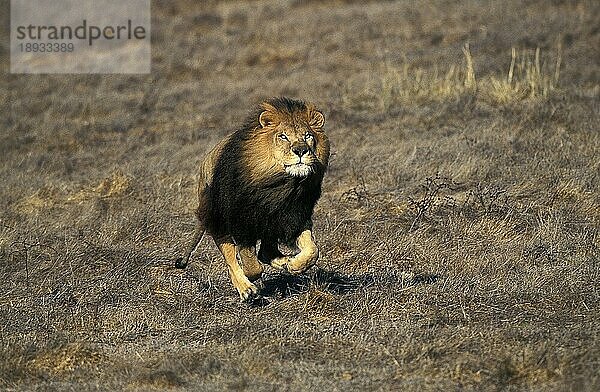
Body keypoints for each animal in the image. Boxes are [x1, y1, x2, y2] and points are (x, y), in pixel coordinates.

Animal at [176, 97, 330, 300]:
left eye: (308, 136)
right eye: (283, 136)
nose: (301, 151)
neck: (280, 186)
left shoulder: (294, 217)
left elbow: (313, 251)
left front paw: (294, 265)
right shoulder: (242, 223)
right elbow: (251, 265)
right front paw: (250, 280)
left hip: (269, 227)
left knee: (266, 252)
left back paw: (285, 262)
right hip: (217, 217)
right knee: (231, 257)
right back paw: (247, 289)